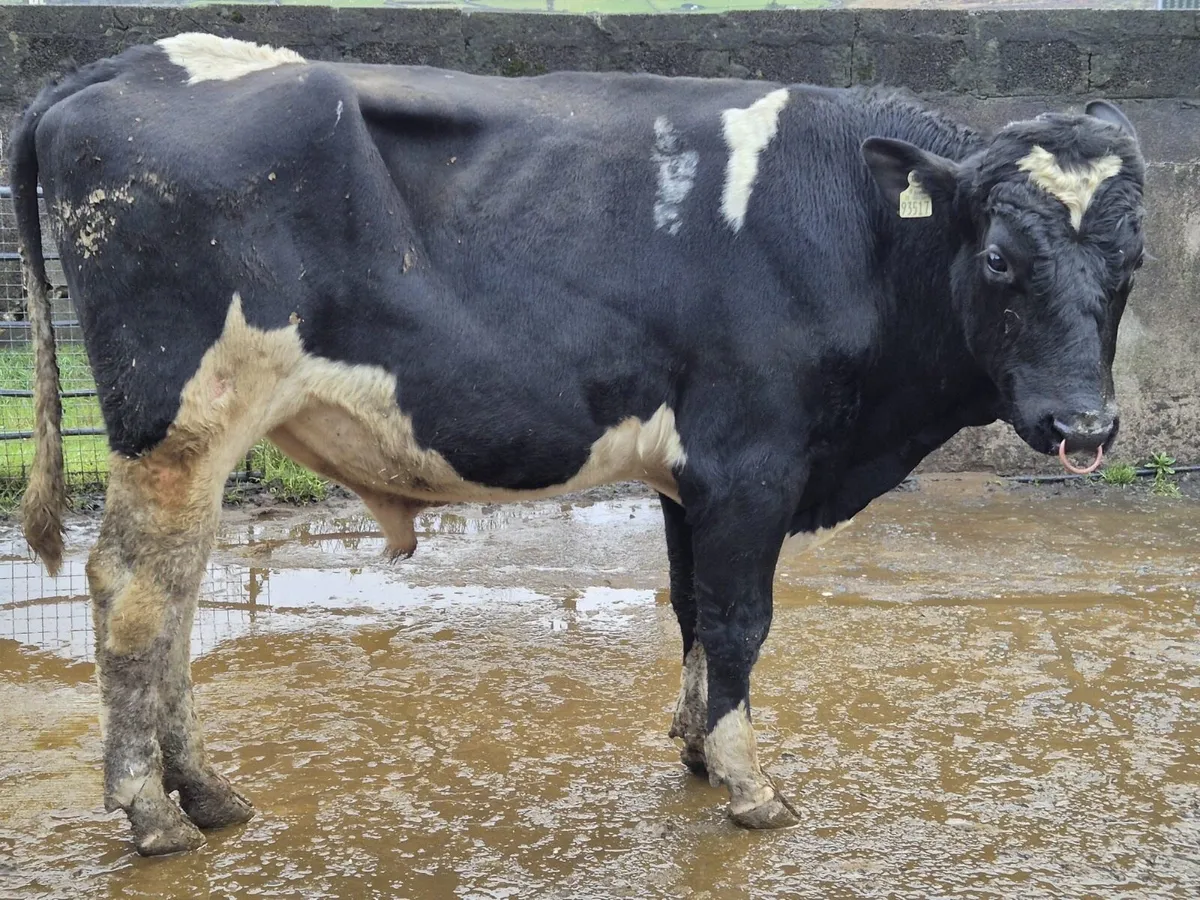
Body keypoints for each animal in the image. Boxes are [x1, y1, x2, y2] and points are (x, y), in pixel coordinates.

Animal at [8, 33, 1145, 856]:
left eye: (1132, 262)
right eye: (997, 259)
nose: (1084, 428)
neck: (853, 230)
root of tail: (127, 61)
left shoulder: (693, 477)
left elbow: (691, 610)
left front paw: (697, 750)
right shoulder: (751, 461)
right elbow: (739, 621)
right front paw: (750, 784)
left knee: (176, 593)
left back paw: (205, 793)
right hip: (179, 421)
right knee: (137, 596)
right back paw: (152, 813)